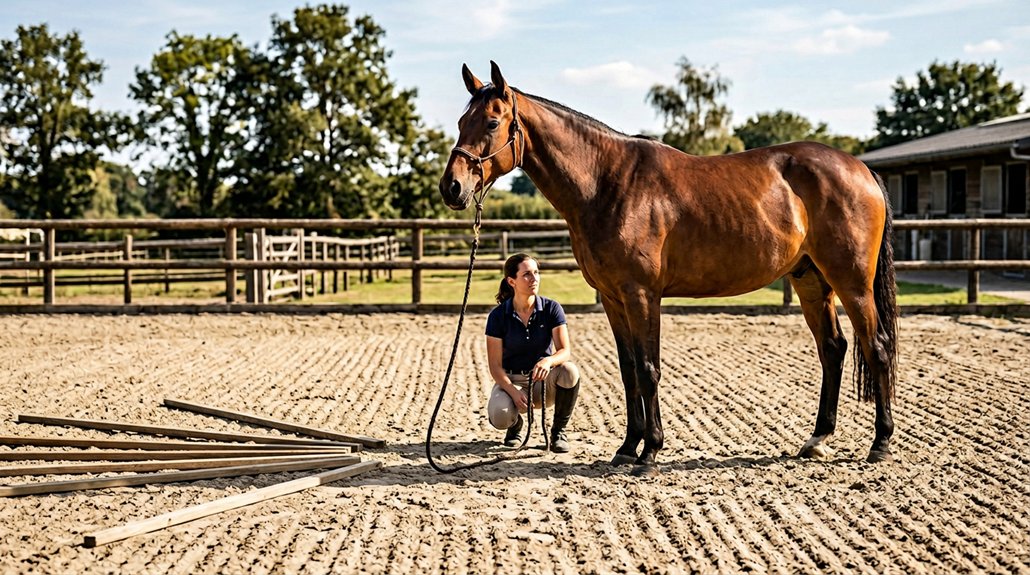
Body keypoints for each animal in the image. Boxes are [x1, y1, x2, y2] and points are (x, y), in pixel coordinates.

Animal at [439, 62, 898, 476]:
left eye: (492, 121)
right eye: (461, 121)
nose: (452, 187)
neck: (607, 183)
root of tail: (861, 169)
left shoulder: (642, 295)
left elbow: (648, 369)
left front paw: (650, 453)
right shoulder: (614, 299)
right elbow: (629, 371)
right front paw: (627, 447)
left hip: (852, 282)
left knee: (876, 347)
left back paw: (881, 443)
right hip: (811, 281)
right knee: (833, 349)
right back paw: (817, 440)